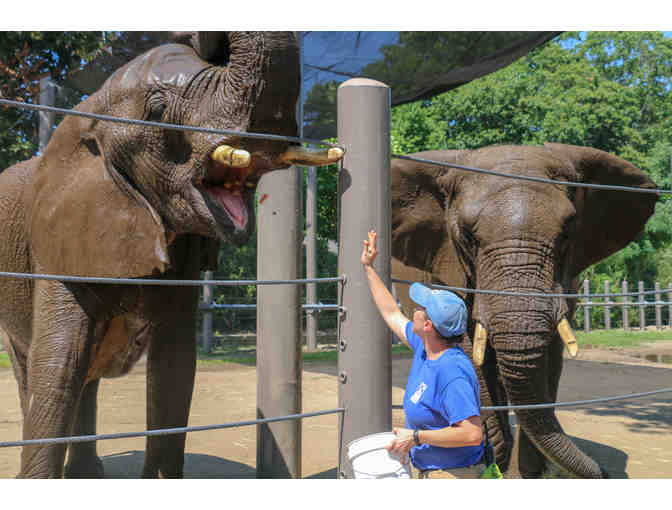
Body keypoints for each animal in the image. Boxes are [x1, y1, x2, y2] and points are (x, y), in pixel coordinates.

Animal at [0, 31, 344, 478]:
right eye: (158, 111)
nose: (197, 37)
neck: (90, 112)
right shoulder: (56, 242)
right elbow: (57, 364)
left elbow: (174, 368)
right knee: (36, 371)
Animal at [388, 144, 656, 478]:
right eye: (468, 237)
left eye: (566, 235)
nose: (604, 472)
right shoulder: (446, 266)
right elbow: (469, 349)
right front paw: (492, 459)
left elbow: (550, 353)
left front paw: (526, 473)